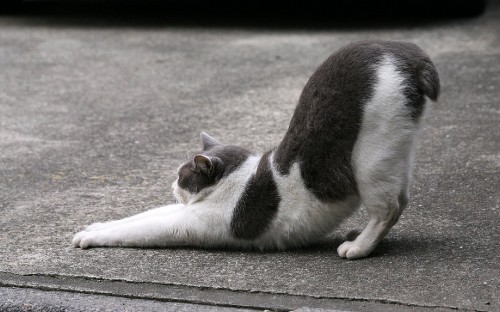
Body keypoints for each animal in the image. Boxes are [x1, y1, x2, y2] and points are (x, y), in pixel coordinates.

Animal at [72, 40, 440, 260]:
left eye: (182, 175)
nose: (172, 185)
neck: (235, 177)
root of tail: (406, 51)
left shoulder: (191, 222)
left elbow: (139, 228)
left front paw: (90, 237)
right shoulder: (184, 211)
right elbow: (140, 216)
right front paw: (95, 226)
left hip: (372, 158)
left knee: (387, 207)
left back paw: (359, 246)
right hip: (398, 152)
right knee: (402, 197)